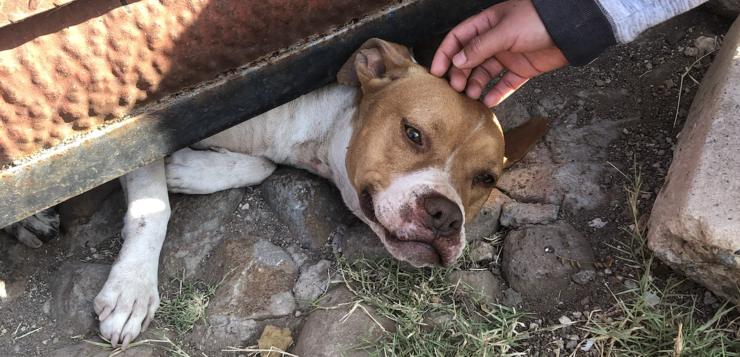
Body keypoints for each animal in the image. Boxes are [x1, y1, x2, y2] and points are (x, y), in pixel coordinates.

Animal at [2, 39, 548, 348]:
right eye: (413, 134)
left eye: (486, 180)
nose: (445, 216)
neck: (311, 130)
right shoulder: (140, 133)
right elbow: (151, 211)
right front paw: (133, 289)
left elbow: (260, 167)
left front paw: (187, 169)